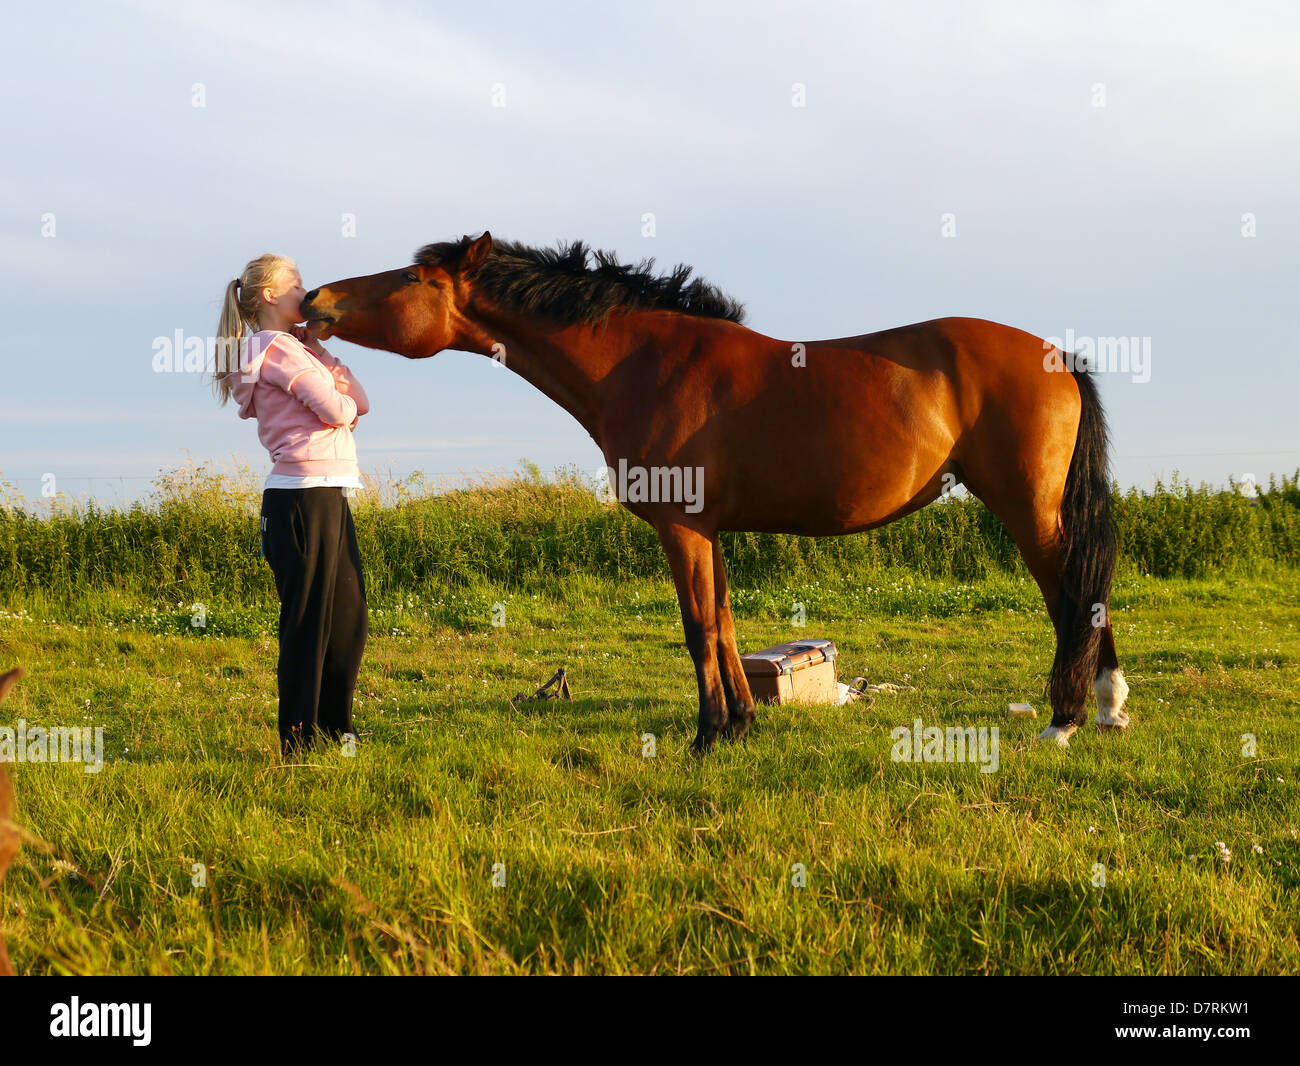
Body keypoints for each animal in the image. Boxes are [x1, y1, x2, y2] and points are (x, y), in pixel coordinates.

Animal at [301, 232, 1128, 748]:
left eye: (412, 279)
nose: (315, 299)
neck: (642, 361)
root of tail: (1057, 356)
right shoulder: (710, 530)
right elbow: (727, 623)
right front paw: (740, 724)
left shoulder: (681, 528)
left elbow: (698, 627)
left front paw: (706, 734)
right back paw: (1109, 710)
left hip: (1028, 509)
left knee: (1071, 592)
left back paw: (1067, 719)